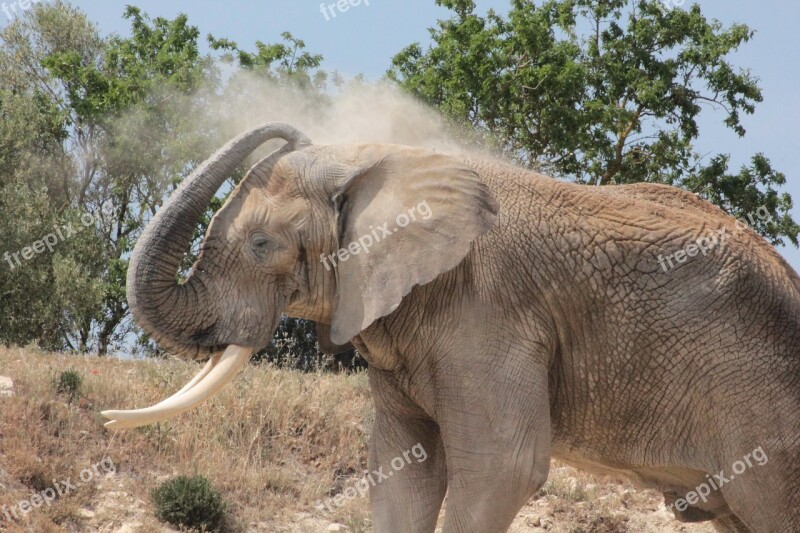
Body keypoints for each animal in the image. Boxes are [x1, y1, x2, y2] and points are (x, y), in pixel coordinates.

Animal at [103, 122, 800, 528]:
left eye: (260, 246)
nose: (106, 423)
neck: (387, 164)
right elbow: (403, 469)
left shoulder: (492, 313)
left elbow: (501, 467)